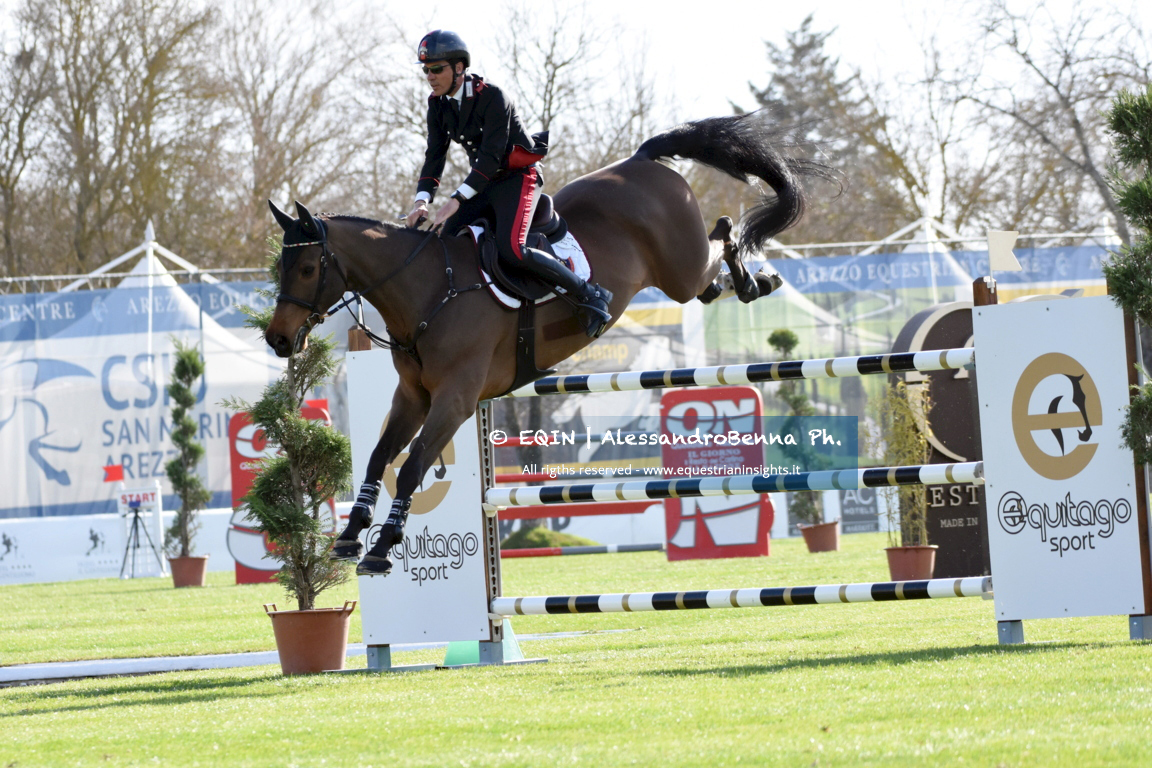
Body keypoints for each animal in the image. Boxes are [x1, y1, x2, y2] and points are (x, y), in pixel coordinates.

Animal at [266, 111, 834, 573]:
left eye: (309, 268)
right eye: (280, 267)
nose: (277, 339)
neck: (429, 289)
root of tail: (641, 158)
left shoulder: (455, 398)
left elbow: (410, 469)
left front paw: (383, 548)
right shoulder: (414, 396)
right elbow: (378, 458)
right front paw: (349, 536)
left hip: (680, 268)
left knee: (722, 233)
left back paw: (757, 279)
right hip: (682, 277)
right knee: (711, 276)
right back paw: (752, 281)